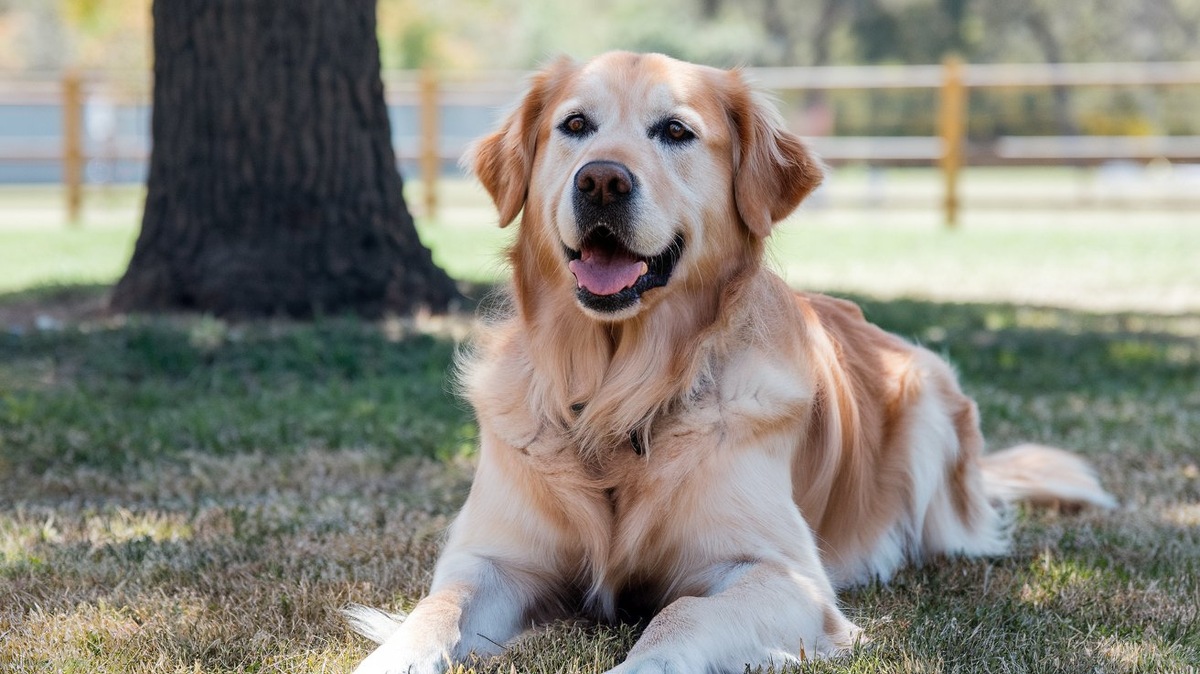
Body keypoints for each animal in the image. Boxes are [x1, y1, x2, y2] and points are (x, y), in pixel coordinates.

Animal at [348, 52, 1113, 671]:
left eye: (675, 132)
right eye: (575, 125)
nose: (601, 181)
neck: (617, 394)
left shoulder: (784, 576)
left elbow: (678, 615)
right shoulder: (492, 561)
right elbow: (435, 611)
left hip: (928, 393)